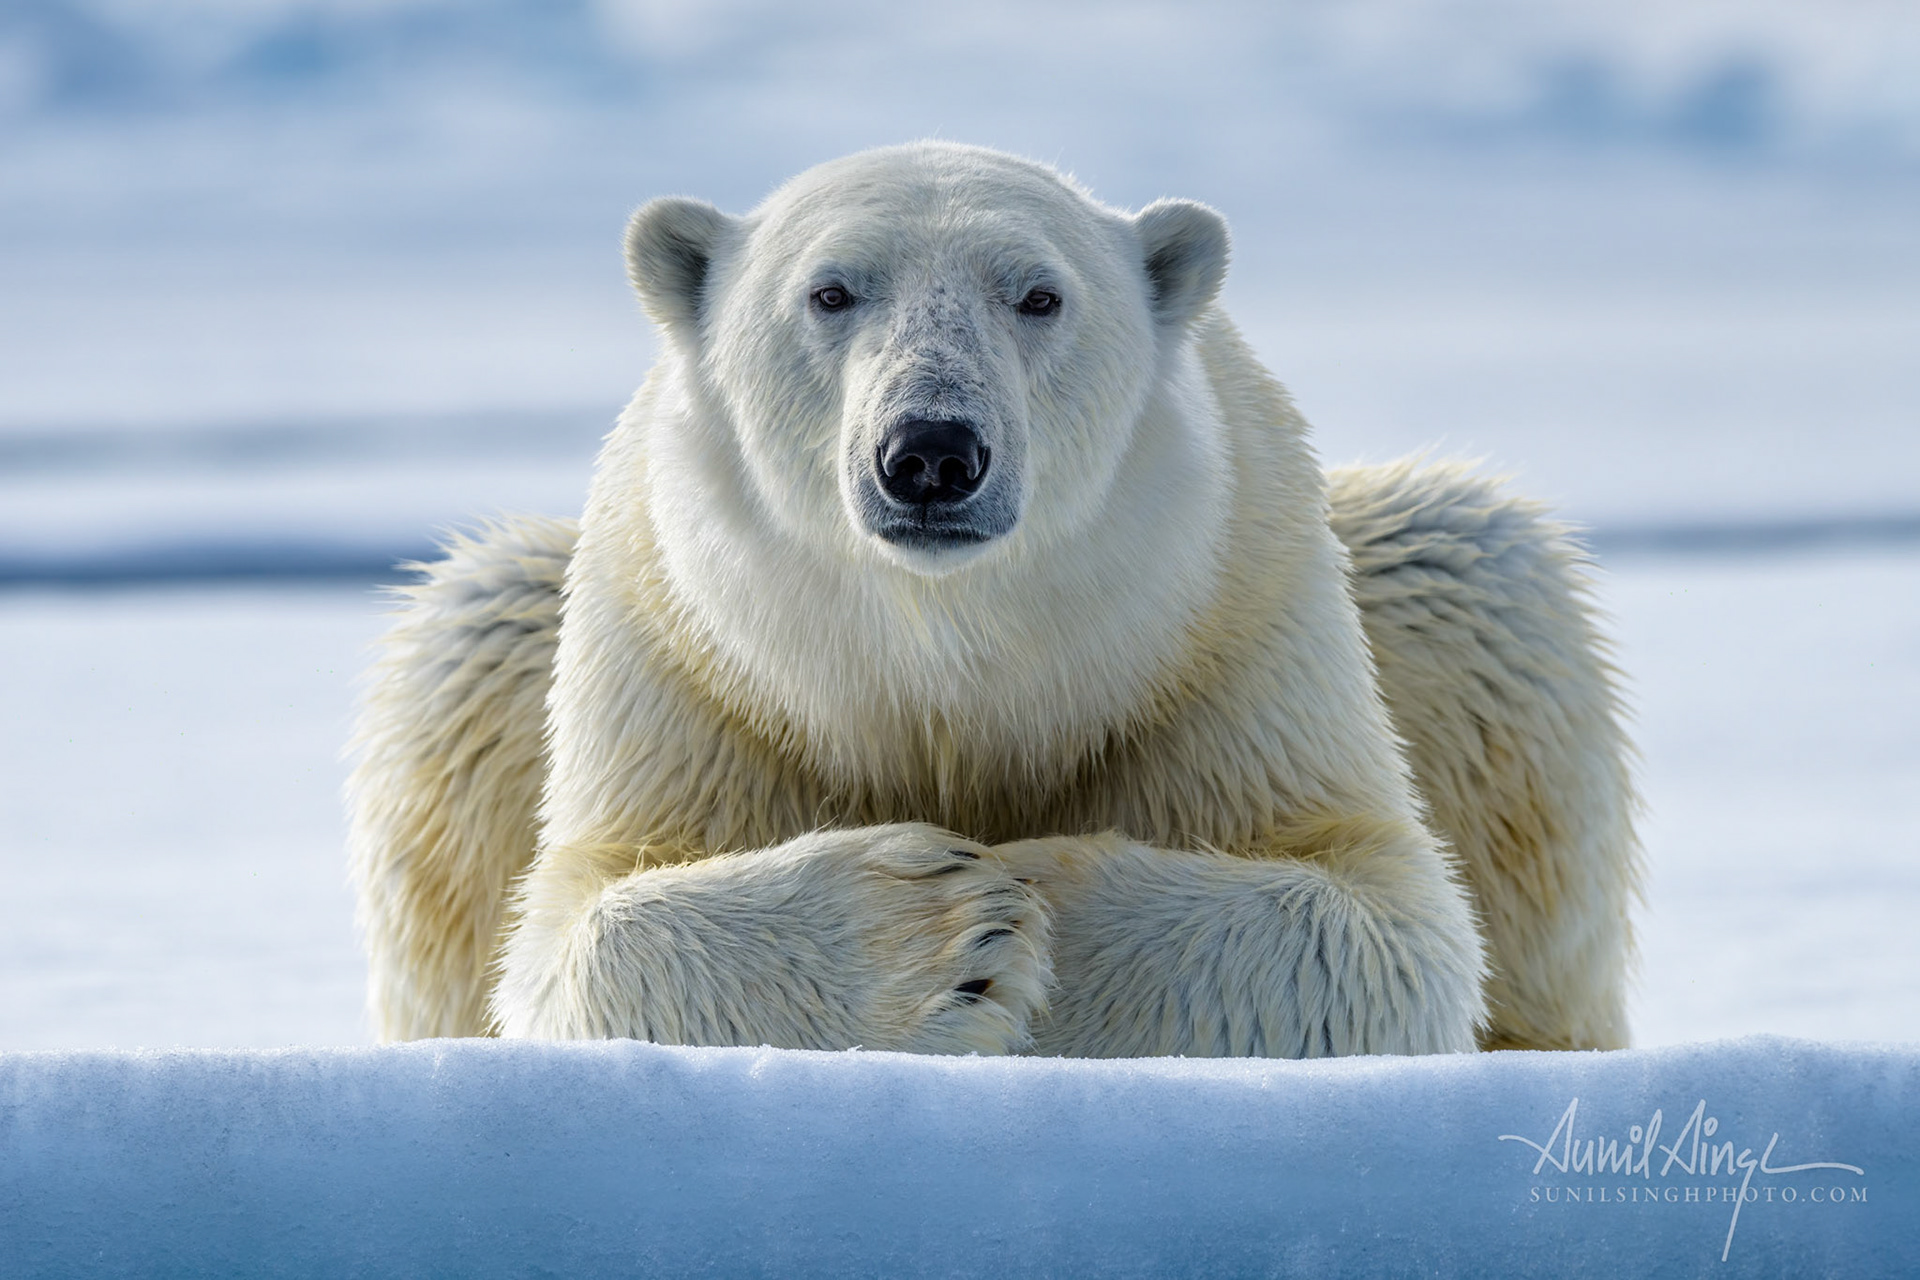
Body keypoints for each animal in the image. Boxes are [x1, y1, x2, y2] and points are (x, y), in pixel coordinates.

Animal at [347, 142, 1638, 1057]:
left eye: (1040, 295)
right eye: (831, 291)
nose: (929, 450)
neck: (953, 666)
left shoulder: (1232, 635)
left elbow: (1379, 913)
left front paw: (1032, 888)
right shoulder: (697, 675)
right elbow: (581, 923)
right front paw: (944, 933)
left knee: (1483, 576)